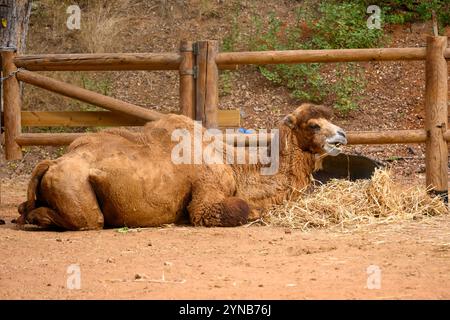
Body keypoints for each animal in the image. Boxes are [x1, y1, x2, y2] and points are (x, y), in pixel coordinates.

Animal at [15, 104, 348, 229]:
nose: (342, 134)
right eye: (314, 124)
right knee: (89, 220)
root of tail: (51, 163)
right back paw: (37, 219)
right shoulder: (207, 195)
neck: (233, 163)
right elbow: (243, 209)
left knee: (24, 206)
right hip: (76, 189)